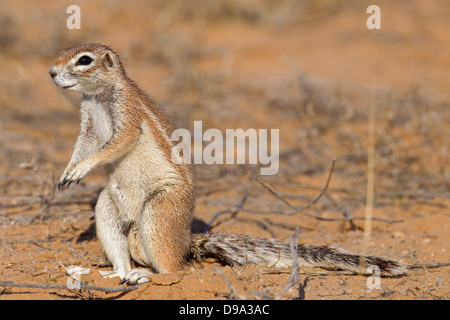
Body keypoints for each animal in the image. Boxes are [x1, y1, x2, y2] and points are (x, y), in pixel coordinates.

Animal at [49, 43, 408, 284]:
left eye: (84, 60)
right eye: (63, 51)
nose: (51, 72)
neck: (99, 96)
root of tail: (186, 241)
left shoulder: (128, 113)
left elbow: (116, 144)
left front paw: (82, 169)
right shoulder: (88, 124)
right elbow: (83, 146)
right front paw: (68, 170)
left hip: (160, 210)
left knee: (176, 268)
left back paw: (153, 276)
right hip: (109, 206)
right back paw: (122, 274)